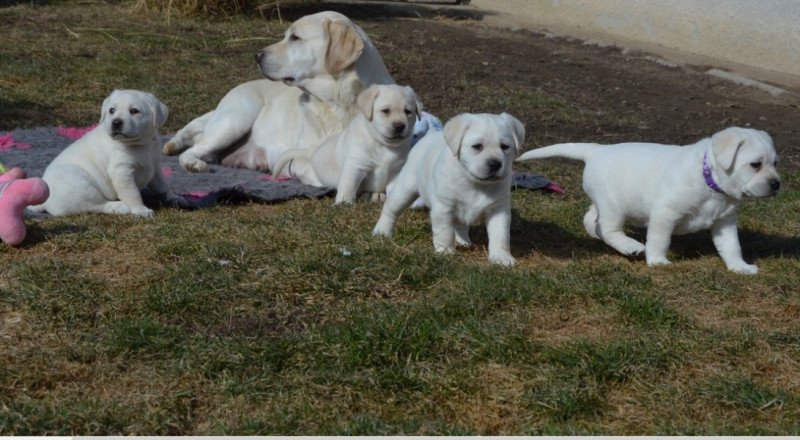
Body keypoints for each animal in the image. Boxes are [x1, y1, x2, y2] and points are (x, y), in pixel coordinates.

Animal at [164, 10, 396, 174]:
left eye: (295, 38)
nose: (256, 55)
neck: (337, 103)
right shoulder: (300, 156)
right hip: (237, 119)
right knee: (190, 150)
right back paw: (193, 163)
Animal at [274, 83, 422, 204]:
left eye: (408, 112)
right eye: (386, 111)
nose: (399, 126)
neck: (384, 145)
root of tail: (312, 150)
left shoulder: (397, 170)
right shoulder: (356, 165)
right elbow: (349, 185)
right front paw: (344, 203)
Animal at [374, 111, 524, 266]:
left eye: (505, 146)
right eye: (477, 146)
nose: (495, 164)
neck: (475, 183)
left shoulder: (498, 210)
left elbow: (500, 236)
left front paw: (501, 257)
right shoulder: (443, 207)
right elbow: (445, 232)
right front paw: (445, 251)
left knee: (460, 225)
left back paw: (463, 240)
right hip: (405, 190)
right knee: (390, 209)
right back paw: (382, 231)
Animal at [512, 125, 780, 274]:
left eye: (775, 163)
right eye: (755, 164)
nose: (777, 184)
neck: (709, 181)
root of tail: (597, 150)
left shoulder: (724, 222)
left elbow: (732, 246)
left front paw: (739, 267)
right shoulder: (666, 213)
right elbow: (660, 240)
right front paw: (658, 261)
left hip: (603, 202)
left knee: (591, 219)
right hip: (614, 206)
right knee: (608, 228)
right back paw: (630, 246)